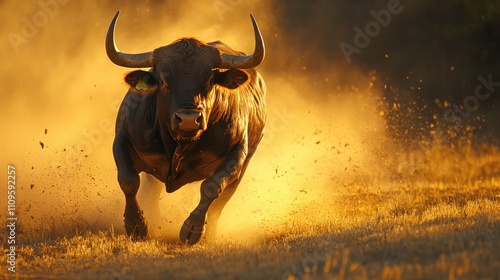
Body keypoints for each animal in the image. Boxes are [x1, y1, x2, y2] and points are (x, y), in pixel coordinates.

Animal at [105, 10, 266, 244]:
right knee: (151, 189)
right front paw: (136, 225)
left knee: (222, 200)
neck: (178, 143)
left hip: (244, 166)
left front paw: (193, 229)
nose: (188, 119)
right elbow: (128, 180)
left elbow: (211, 188)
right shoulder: (122, 139)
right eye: (163, 80)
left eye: (210, 80)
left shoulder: (237, 155)